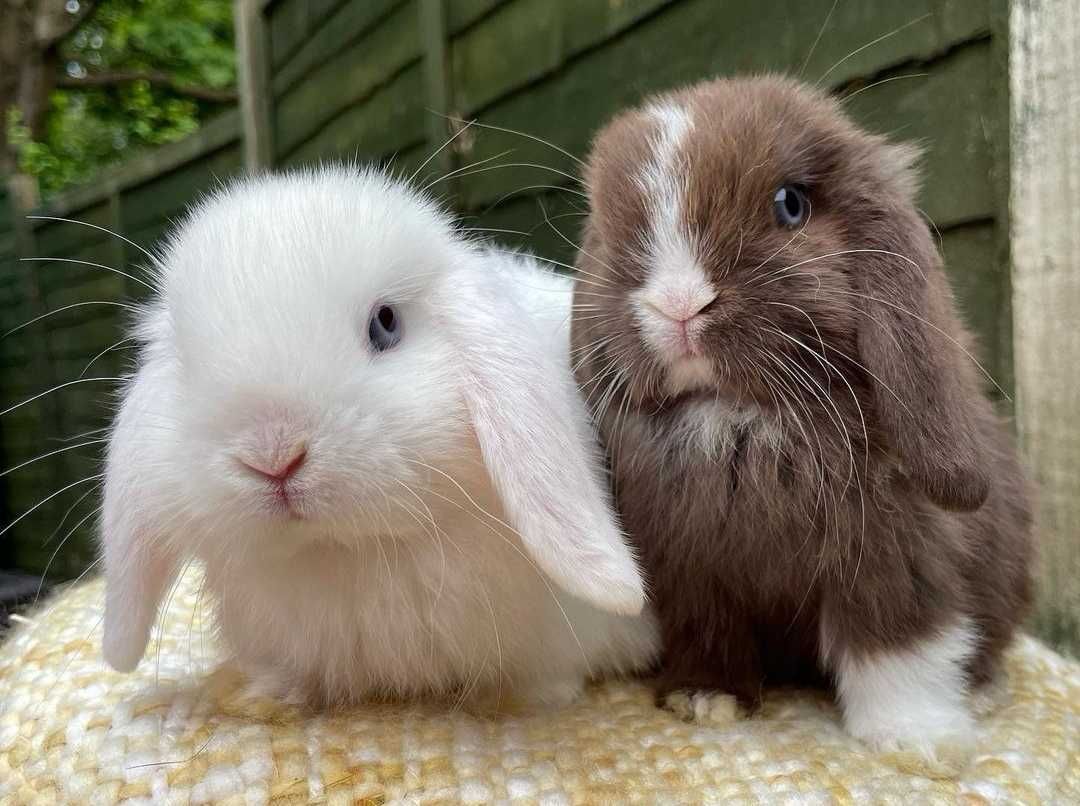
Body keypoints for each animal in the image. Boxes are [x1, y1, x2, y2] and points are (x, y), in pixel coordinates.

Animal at [101, 166, 656, 704]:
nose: (274, 456)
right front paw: (275, 694)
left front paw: (535, 696)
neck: (351, 553)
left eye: (385, 324)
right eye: (184, 363)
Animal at [574, 72, 1036, 756]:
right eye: (613, 233)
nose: (678, 304)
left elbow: (899, 643)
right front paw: (705, 700)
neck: (739, 418)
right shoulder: (689, 570)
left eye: (790, 205)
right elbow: (708, 631)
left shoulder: (895, 554)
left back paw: (980, 692)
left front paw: (918, 741)